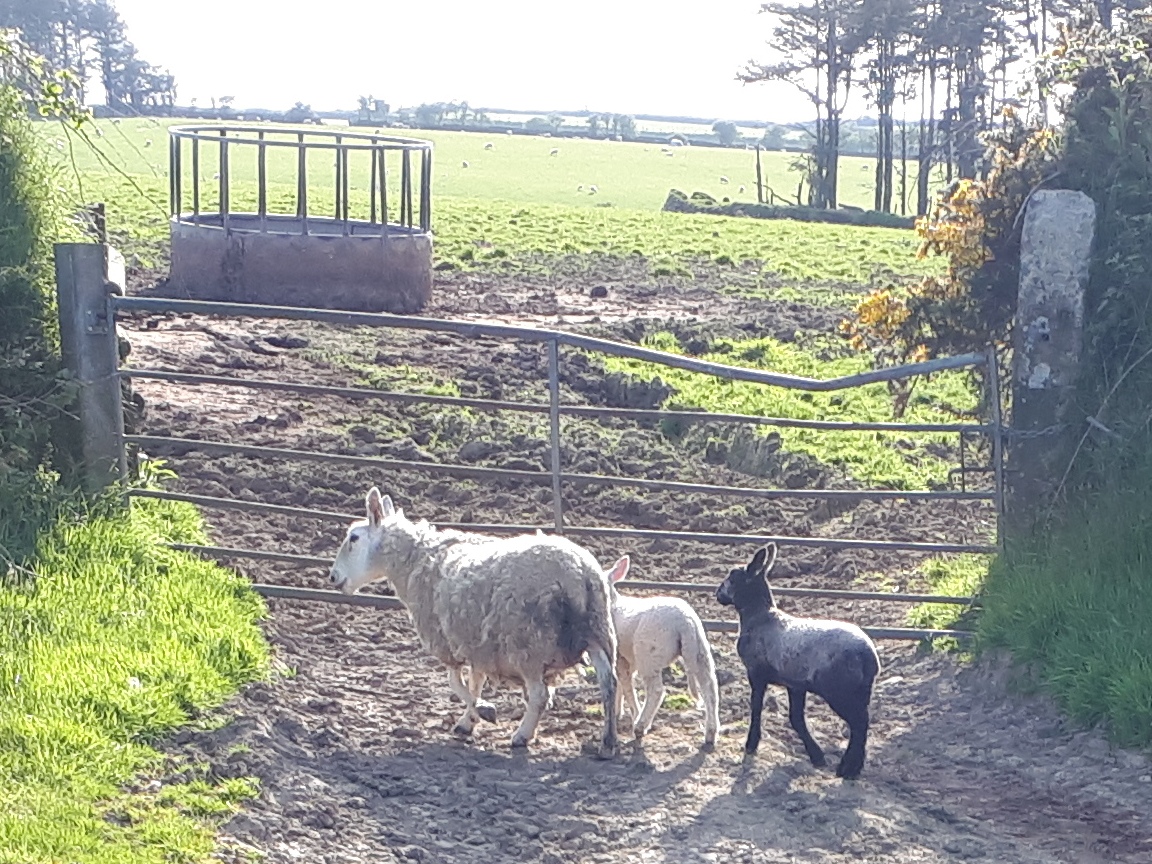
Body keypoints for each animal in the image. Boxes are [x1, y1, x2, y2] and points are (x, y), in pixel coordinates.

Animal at [329, 488, 620, 758]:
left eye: (353, 538)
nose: (333, 577)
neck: (418, 558)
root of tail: (577, 572)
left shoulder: (445, 639)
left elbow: (456, 683)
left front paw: (483, 710)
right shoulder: (477, 641)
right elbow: (475, 681)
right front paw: (468, 721)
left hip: (528, 644)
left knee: (540, 695)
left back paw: (522, 735)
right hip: (598, 633)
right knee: (609, 684)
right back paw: (608, 742)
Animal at [606, 555, 719, 747]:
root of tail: (684, 621)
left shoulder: (621, 657)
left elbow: (625, 684)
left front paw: (632, 713)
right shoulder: (627, 658)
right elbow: (621, 682)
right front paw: (617, 711)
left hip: (649, 654)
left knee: (656, 691)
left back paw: (640, 726)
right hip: (699, 649)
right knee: (709, 688)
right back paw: (710, 733)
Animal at [715, 543, 880, 779]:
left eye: (732, 577)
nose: (718, 594)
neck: (760, 616)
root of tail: (868, 656)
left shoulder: (756, 672)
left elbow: (756, 707)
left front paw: (751, 745)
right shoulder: (795, 684)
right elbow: (796, 718)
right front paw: (816, 756)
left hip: (840, 690)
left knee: (859, 724)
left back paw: (847, 770)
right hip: (860, 691)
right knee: (862, 724)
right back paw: (851, 767)